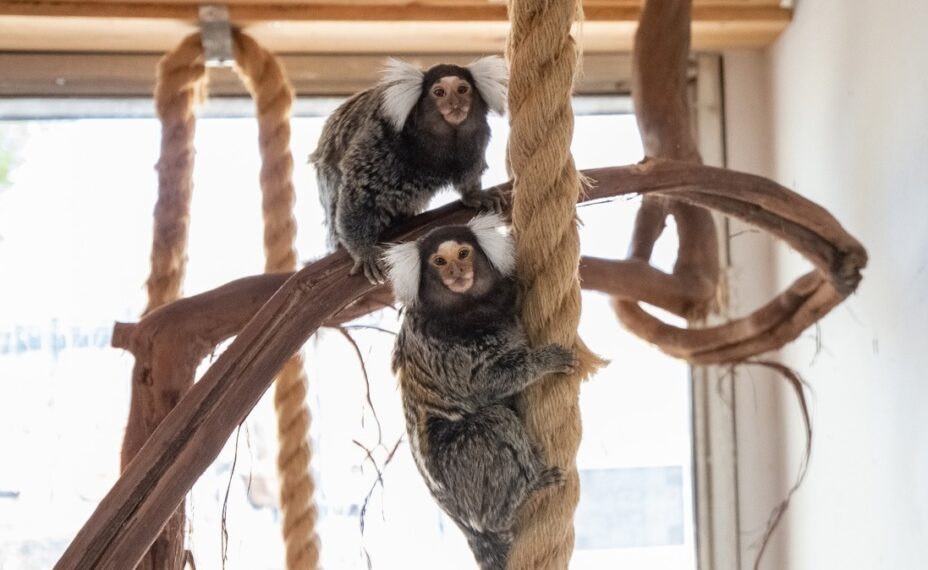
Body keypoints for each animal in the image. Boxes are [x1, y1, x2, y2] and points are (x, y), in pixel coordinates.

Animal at [310, 55, 508, 282]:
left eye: (462, 89)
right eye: (439, 92)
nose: (455, 103)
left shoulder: (476, 139)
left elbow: (469, 174)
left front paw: (475, 194)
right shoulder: (383, 138)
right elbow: (358, 191)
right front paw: (364, 250)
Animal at [384, 213, 572, 568]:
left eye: (463, 254)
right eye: (439, 261)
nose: (456, 273)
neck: (468, 309)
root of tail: (466, 525)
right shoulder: (441, 345)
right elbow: (485, 382)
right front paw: (545, 361)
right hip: (462, 476)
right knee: (492, 423)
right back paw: (525, 492)